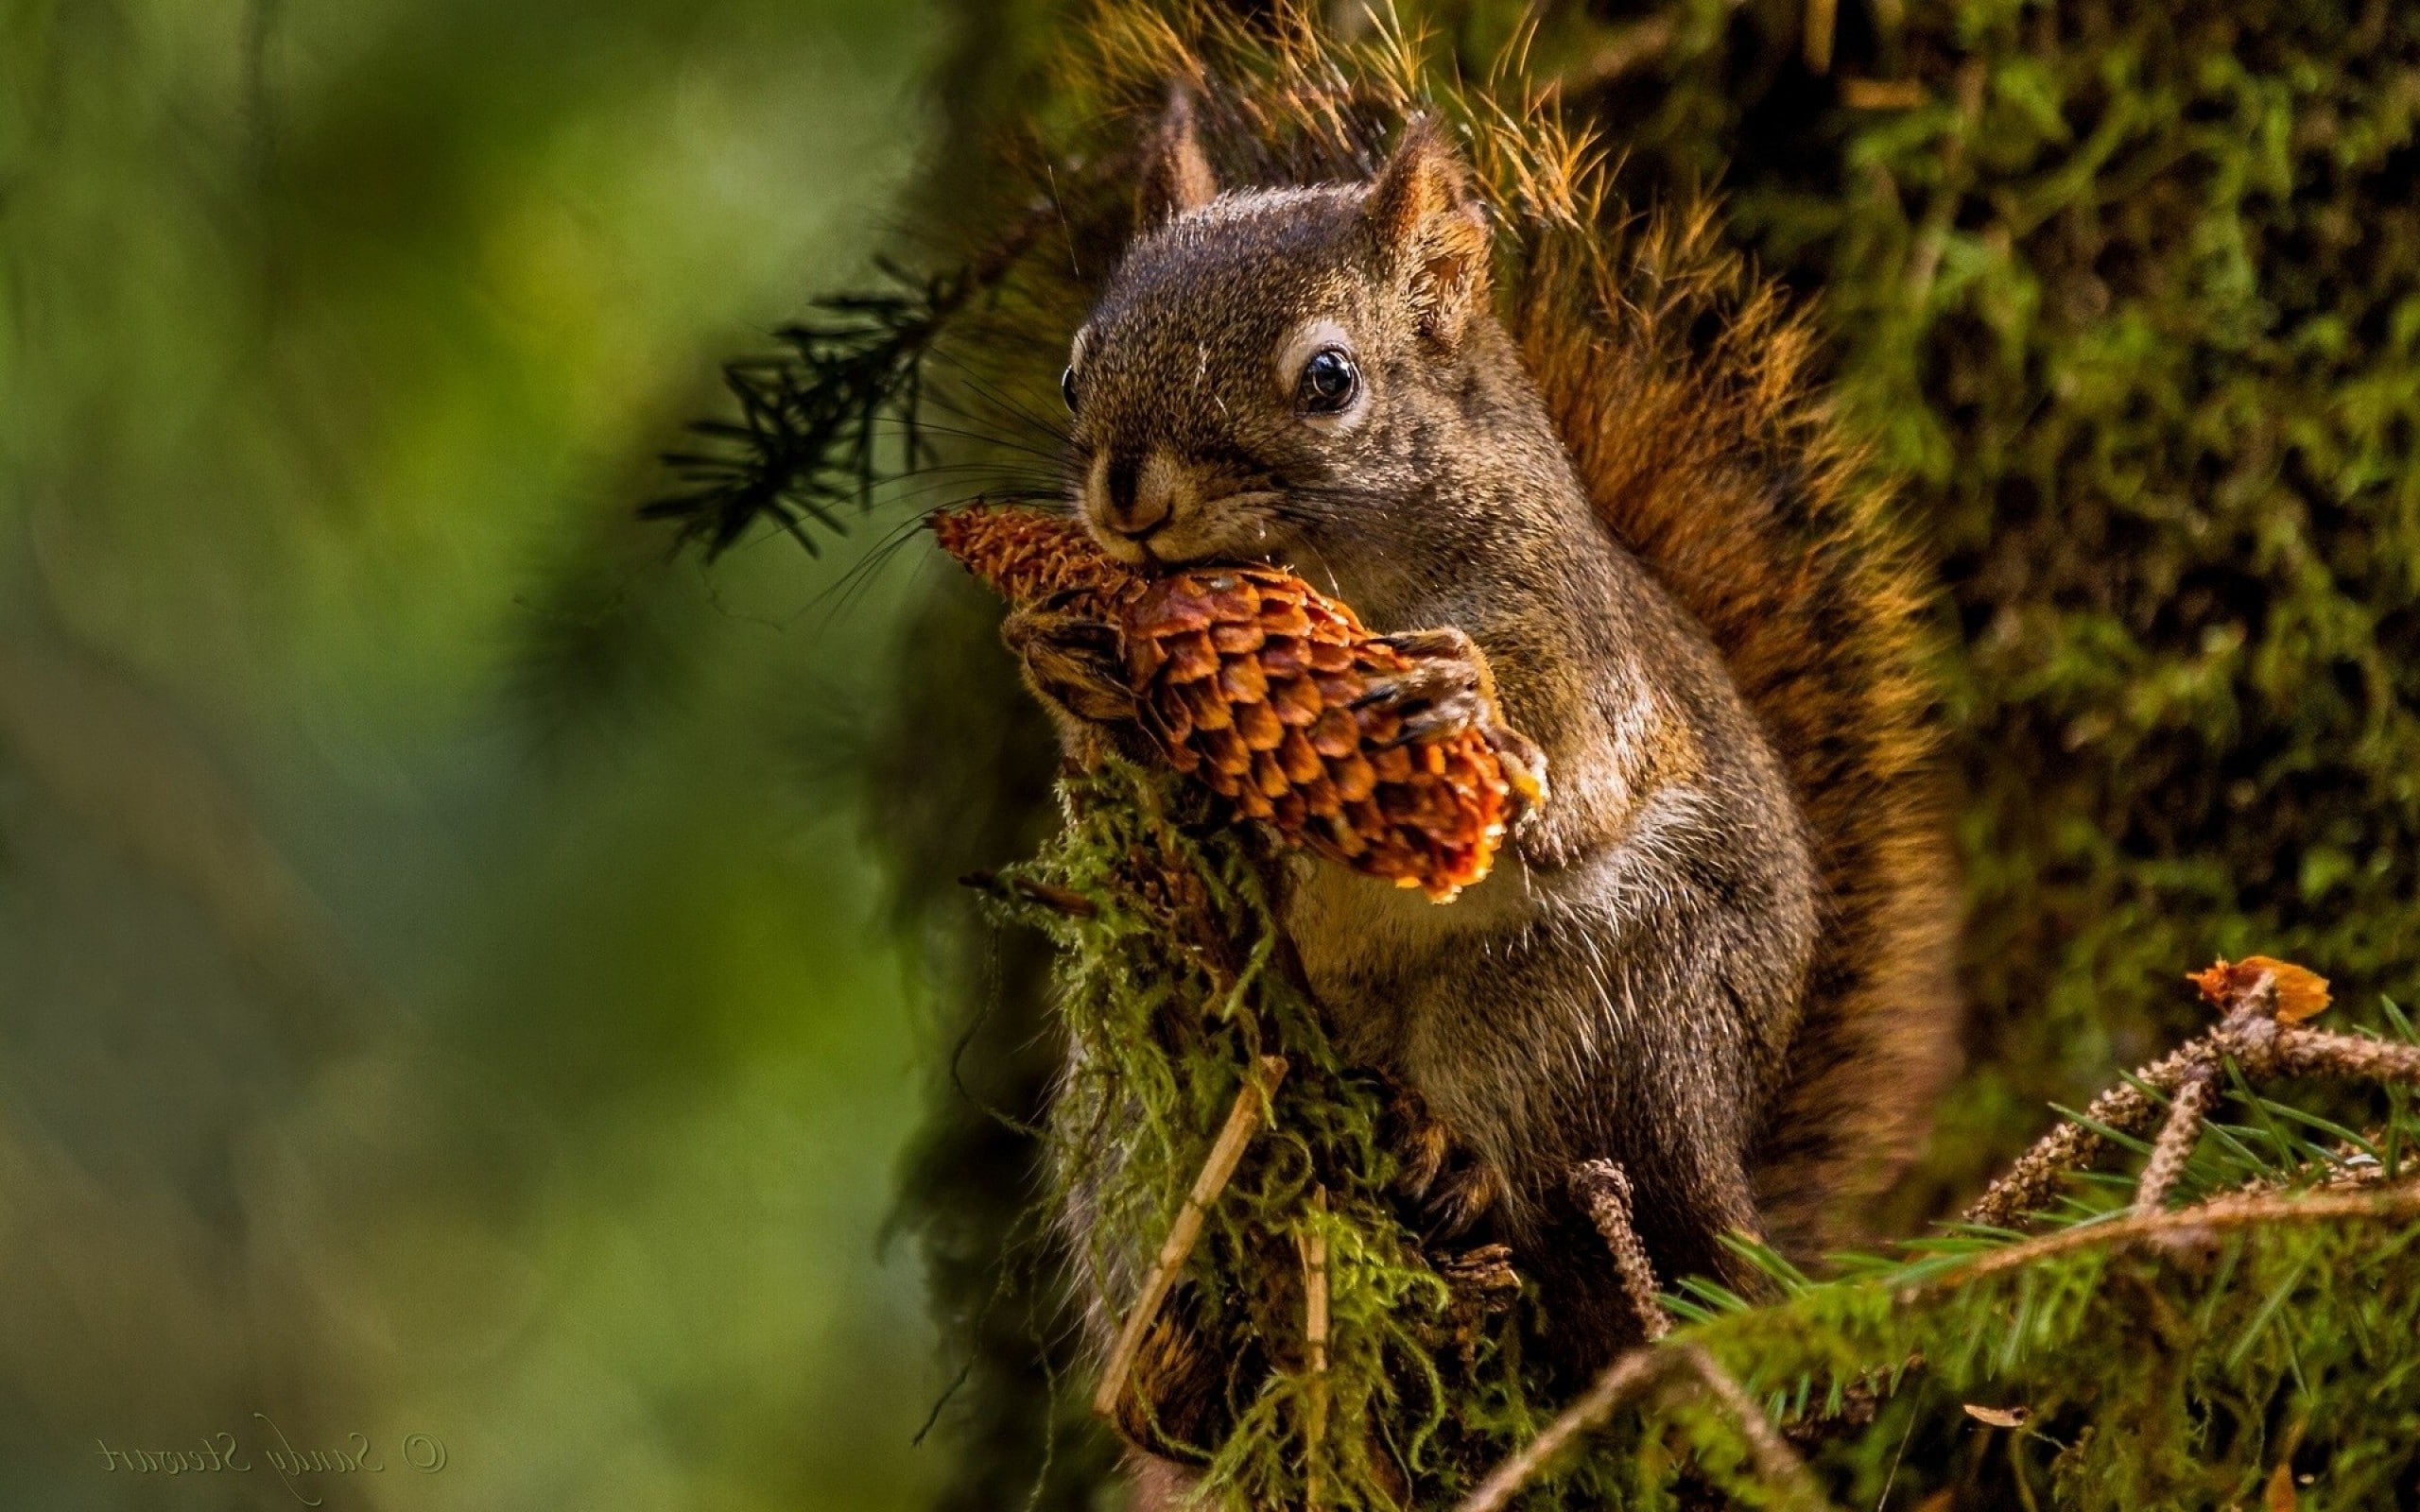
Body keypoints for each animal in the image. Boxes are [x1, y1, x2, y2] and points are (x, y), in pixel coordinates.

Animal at [1006, 80, 1961, 1480]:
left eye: (1329, 379)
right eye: (1077, 369)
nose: (1126, 494)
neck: (1341, 575)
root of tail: (1732, 1191)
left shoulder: (1576, 630)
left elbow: (1574, 749)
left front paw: (1465, 699)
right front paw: (1066, 663)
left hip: (1585, 1009)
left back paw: (1458, 1166)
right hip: (1124, 1112)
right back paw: (1176, 1364)